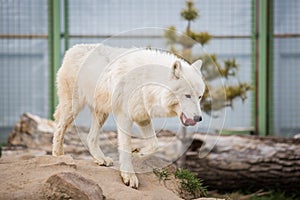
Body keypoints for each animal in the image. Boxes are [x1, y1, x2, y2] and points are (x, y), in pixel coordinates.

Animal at [52, 43, 206, 188]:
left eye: (199, 97)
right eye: (187, 96)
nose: (199, 118)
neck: (148, 81)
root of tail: (72, 49)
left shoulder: (142, 116)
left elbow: (155, 145)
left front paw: (138, 153)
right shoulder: (124, 117)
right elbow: (125, 146)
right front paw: (129, 176)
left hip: (101, 113)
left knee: (90, 137)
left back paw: (101, 159)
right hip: (73, 107)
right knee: (59, 128)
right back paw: (59, 157)